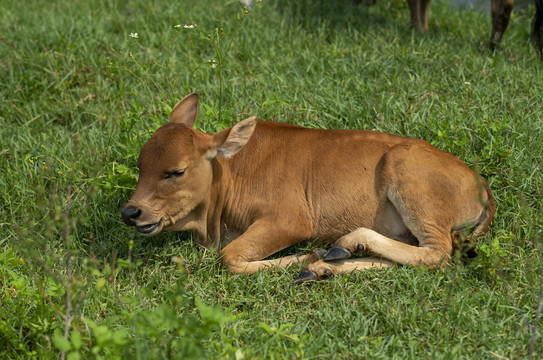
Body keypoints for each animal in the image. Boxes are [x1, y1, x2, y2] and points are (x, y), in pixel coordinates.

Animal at [123, 94, 498, 282]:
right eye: (141, 165)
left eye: (176, 171)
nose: (130, 212)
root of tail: (479, 180)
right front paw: (315, 260)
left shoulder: (289, 220)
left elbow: (228, 258)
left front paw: (307, 255)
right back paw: (330, 262)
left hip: (409, 180)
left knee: (437, 254)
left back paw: (338, 249)